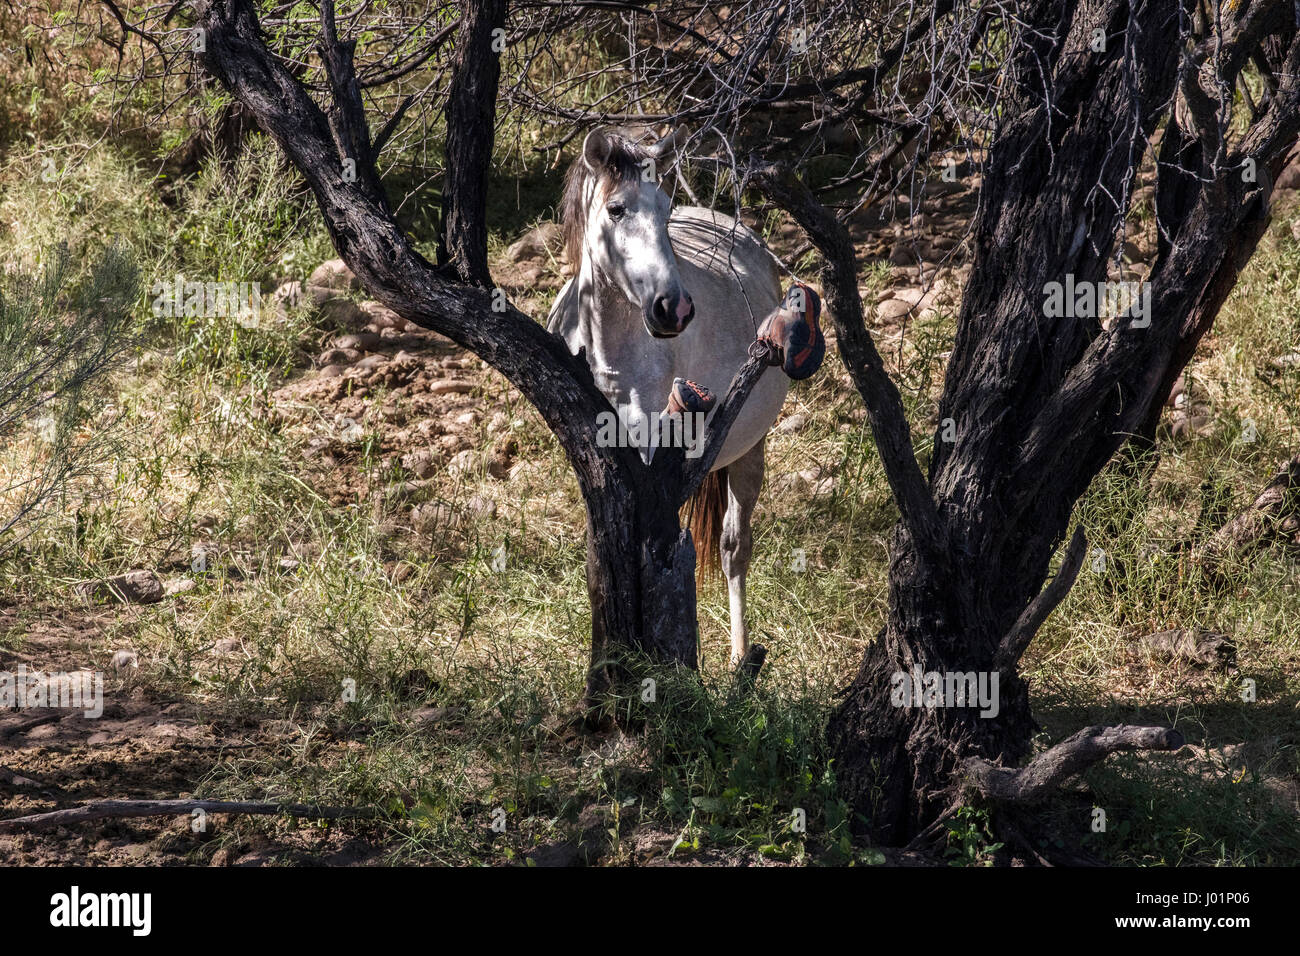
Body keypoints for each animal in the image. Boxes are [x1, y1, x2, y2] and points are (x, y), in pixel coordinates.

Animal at [546, 127, 785, 665]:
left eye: (664, 208)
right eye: (616, 209)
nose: (672, 308)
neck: (613, 358)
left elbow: (660, 550)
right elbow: (603, 550)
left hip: (750, 448)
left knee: (734, 548)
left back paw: (740, 658)